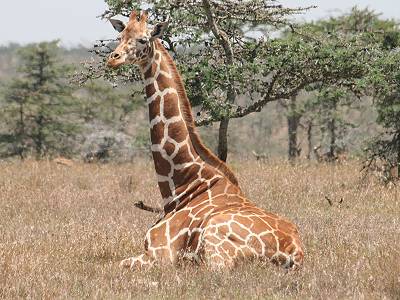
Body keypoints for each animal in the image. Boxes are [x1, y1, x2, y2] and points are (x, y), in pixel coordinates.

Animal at [106, 9, 304, 270]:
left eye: (142, 39)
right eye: (120, 36)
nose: (113, 58)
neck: (182, 185)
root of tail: (294, 251)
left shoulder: (160, 253)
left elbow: (113, 265)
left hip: (215, 244)